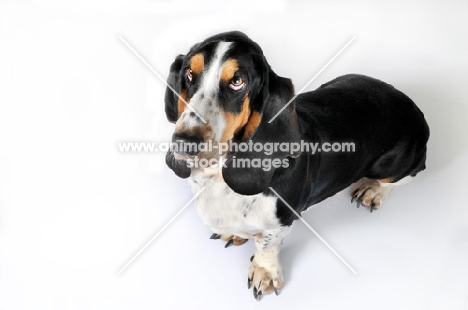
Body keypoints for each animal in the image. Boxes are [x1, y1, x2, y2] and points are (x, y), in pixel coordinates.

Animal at [163, 31, 430, 300]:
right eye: (189, 73)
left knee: (404, 177)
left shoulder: (281, 222)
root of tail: (412, 105)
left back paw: (373, 191)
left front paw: (264, 272)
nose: (184, 142)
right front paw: (237, 234)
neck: (217, 178)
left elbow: (267, 245)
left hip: (397, 164)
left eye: (237, 81)